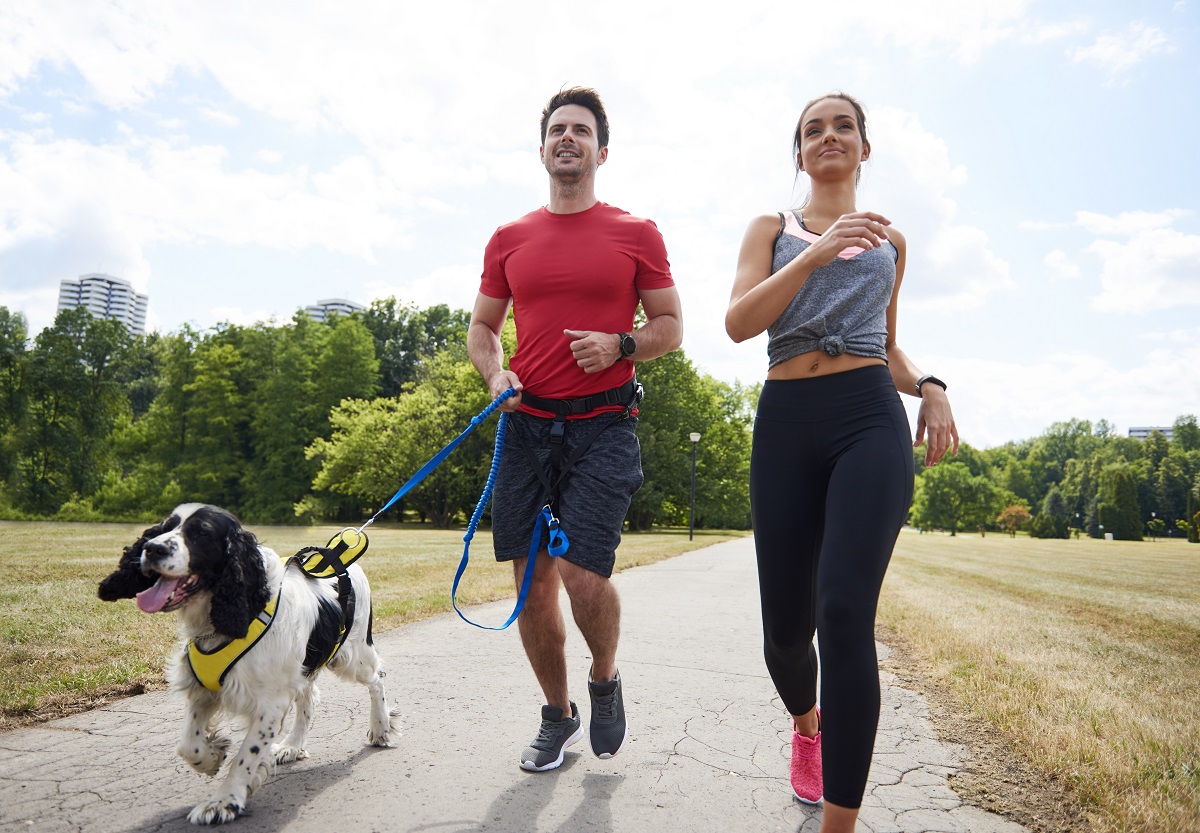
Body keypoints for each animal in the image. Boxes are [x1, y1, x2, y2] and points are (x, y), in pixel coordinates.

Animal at [99, 506, 398, 825]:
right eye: (165, 527)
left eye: (202, 532)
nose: (151, 548)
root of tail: (341, 560)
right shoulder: (204, 689)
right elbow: (188, 744)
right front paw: (212, 756)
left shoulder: (269, 704)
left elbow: (246, 756)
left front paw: (223, 802)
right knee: (309, 698)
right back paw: (292, 746)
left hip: (353, 656)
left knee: (377, 678)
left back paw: (381, 727)